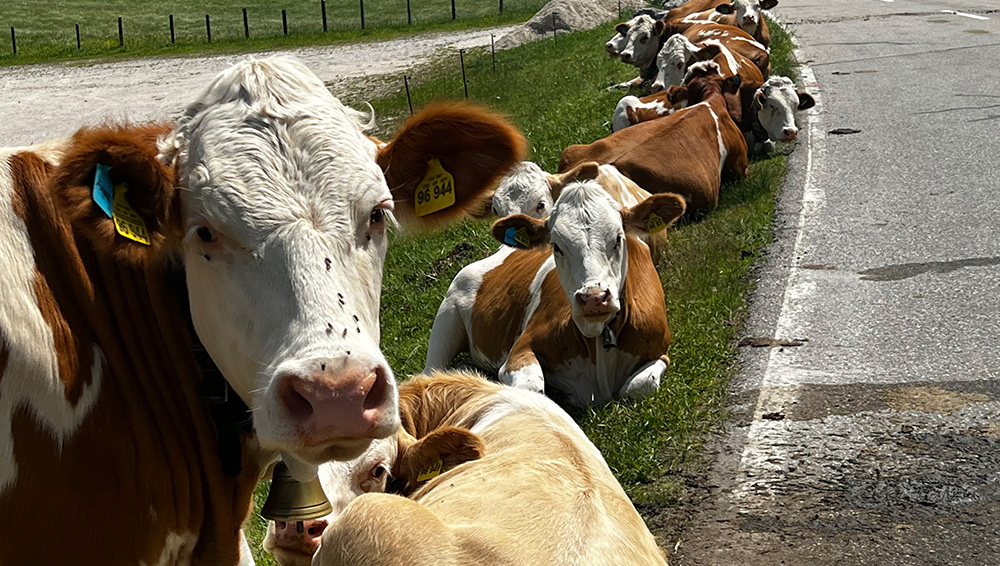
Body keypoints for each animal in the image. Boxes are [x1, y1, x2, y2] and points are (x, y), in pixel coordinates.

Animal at [424, 173, 684, 407]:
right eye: (556, 246)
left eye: (618, 238)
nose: (593, 298)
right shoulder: (519, 350)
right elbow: (532, 388)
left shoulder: (660, 350)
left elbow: (639, 386)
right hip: (446, 317)